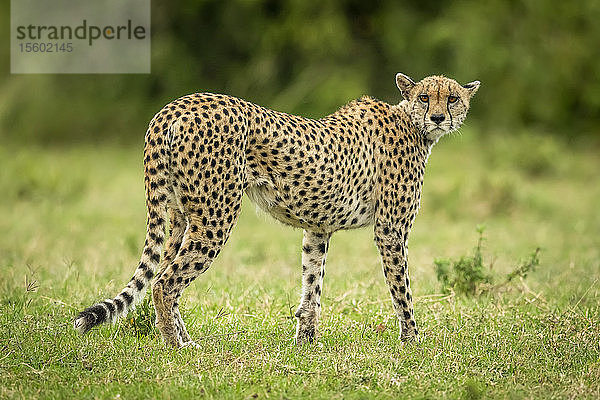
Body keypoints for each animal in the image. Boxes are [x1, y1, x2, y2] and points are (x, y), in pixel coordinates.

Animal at [74, 72, 478, 346]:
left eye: (452, 99)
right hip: (216, 215)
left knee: (163, 272)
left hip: (179, 215)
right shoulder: (391, 230)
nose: (438, 117)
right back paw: (177, 346)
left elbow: (311, 284)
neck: (412, 125)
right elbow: (401, 288)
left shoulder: (317, 228)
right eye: (425, 97)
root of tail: (177, 105)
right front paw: (412, 340)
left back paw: (177, 336)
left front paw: (306, 343)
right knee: (164, 281)